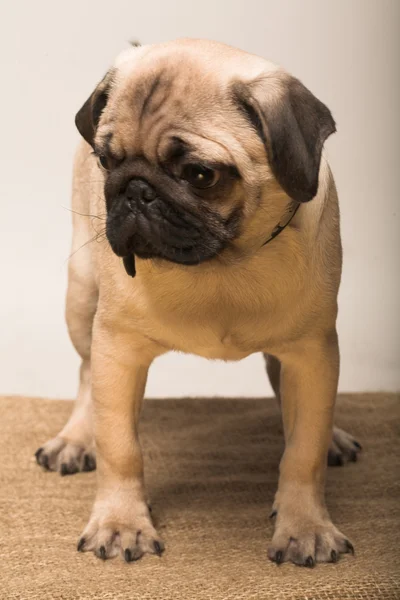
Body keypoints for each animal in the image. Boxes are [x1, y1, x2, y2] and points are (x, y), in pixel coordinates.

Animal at [33, 38, 362, 568]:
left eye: (201, 175)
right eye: (106, 160)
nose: (135, 190)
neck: (220, 266)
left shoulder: (312, 353)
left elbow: (303, 452)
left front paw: (305, 526)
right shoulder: (117, 349)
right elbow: (120, 447)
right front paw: (121, 523)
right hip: (81, 296)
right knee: (85, 375)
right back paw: (76, 438)